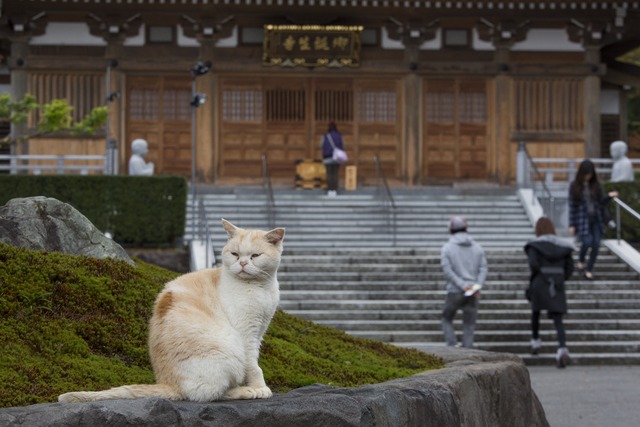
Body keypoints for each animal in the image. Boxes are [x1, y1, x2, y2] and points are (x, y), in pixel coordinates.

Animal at [59, 219, 284, 402]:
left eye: (255, 256)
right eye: (235, 254)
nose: (243, 263)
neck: (261, 288)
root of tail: (168, 382)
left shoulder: (260, 330)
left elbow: (255, 363)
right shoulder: (247, 334)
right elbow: (254, 366)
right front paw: (260, 388)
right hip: (229, 348)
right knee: (208, 394)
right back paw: (245, 391)